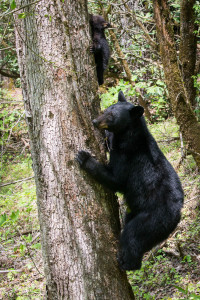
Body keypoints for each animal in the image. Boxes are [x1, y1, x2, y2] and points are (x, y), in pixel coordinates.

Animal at [76, 90, 183, 270]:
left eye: (112, 116)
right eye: (106, 109)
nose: (95, 121)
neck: (130, 135)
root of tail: (178, 215)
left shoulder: (128, 156)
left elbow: (116, 179)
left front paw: (84, 157)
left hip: (151, 218)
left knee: (133, 236)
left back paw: (125, 262)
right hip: (134, 212)